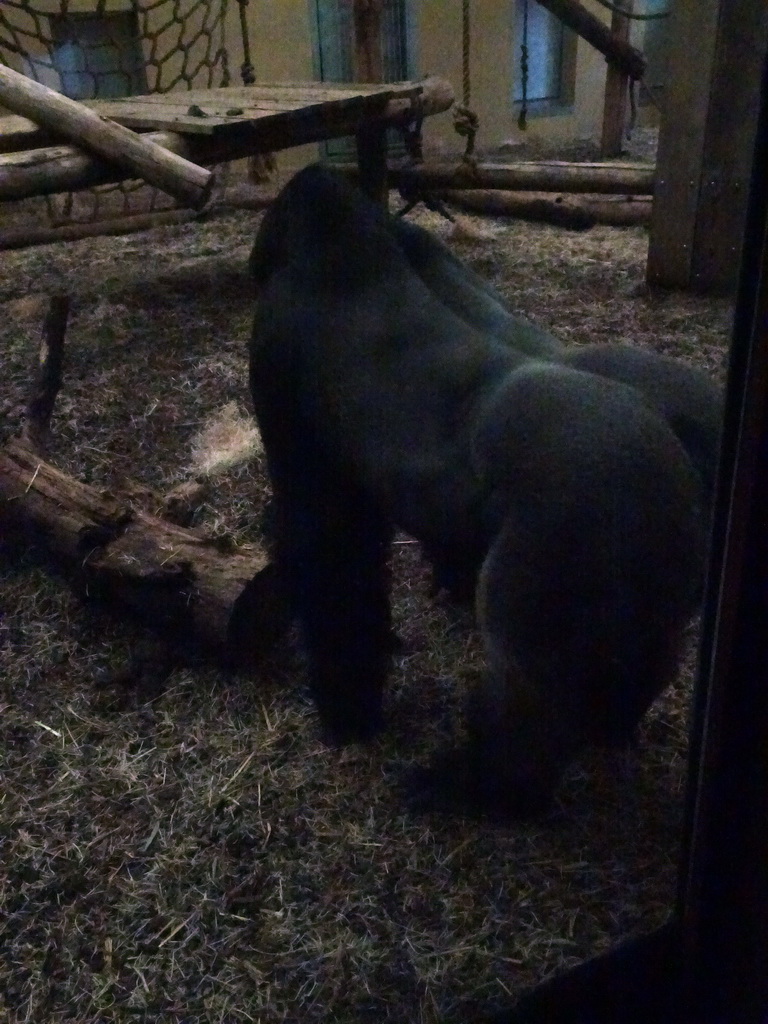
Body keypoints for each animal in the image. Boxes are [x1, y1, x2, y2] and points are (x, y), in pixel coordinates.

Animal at [250, 169, 708, 823]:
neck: (343, 248)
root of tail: (679, 470)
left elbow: (328, 552)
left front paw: (347, 708)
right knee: (637, 660)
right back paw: (609, 726)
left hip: (565, 536)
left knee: (530, 697)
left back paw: (481, 786)